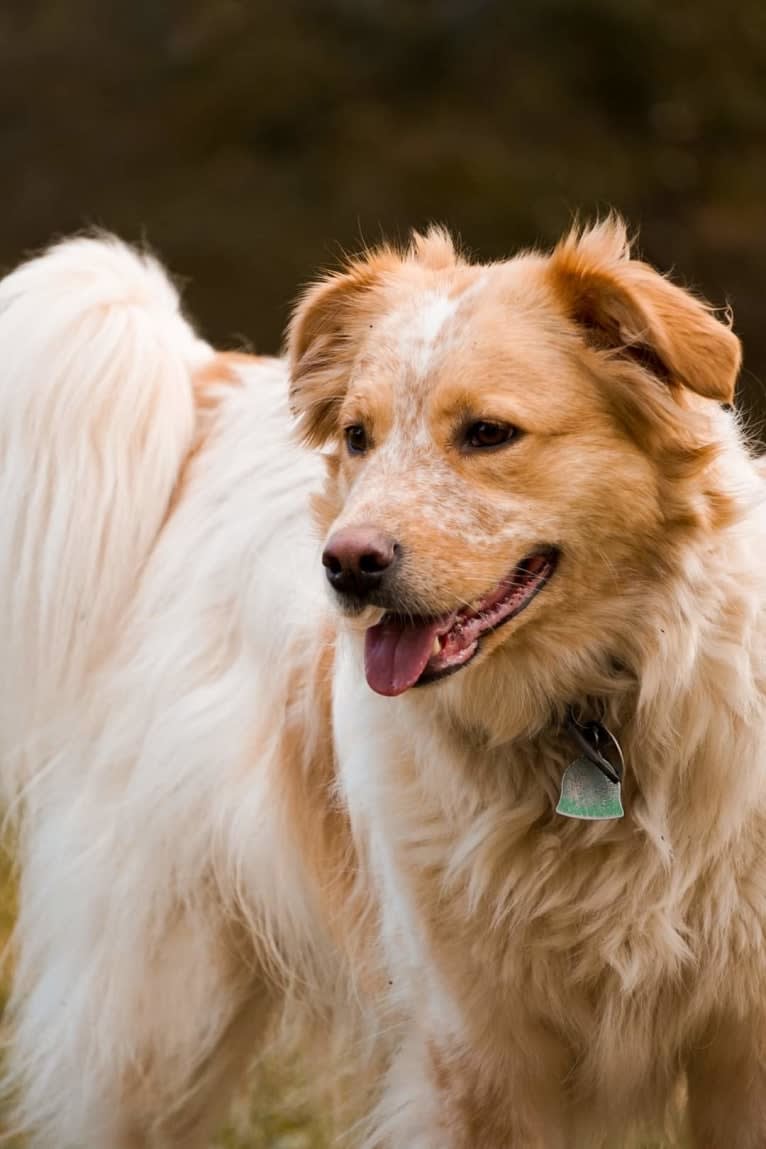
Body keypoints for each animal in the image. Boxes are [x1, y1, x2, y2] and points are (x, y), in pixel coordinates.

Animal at [0, 217, 762, 1149]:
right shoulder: (479, 1054)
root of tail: (211, 390)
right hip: (162, 1012)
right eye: (359, 436)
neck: (588, 717)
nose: (346, 564)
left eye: (489, 433)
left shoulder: (740, 1048)